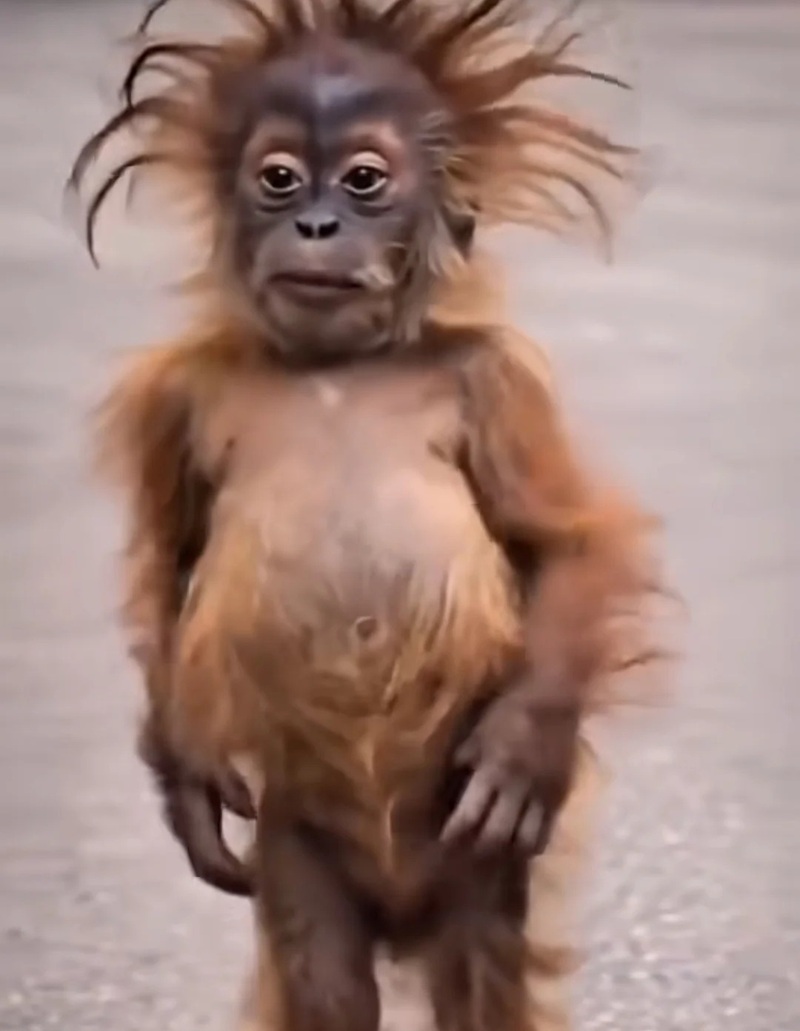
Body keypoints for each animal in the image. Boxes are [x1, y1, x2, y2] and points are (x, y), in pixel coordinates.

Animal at [69, 1, 667, 1029]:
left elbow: (561, 543)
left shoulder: (497, 384)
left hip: (471, 870)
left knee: (478, 964)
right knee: (327, 973)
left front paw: (525, 748)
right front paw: (189, 788)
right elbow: (169, 557)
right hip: (297, 845)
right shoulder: (179, 400)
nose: (317, 221)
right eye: (277, 178)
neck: (338, 368)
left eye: (363, 180)